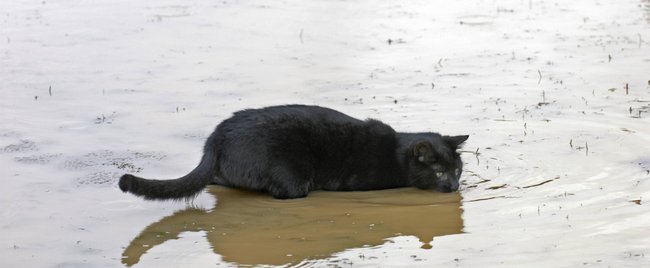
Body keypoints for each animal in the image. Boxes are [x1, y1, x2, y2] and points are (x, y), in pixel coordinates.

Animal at [119, 104, 468, 199]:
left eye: (457, 169)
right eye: (439, 171)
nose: (454, 186)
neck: (396, 150)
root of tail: (216, 138)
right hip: (292, 173)